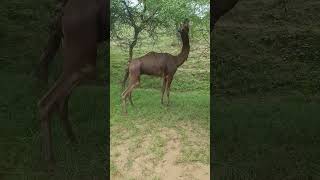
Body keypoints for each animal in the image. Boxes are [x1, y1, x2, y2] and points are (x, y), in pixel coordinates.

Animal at [37, 0, 107, 166]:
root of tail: (64, 8)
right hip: (83, 60)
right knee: (47, 102)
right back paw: (50, 161)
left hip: (68, 52)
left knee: (60, 102)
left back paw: (74, 142)